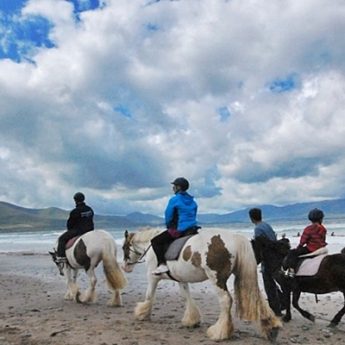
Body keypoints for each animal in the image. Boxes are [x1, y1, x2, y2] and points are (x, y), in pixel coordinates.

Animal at [120, 227, 280, 340]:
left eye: (123, 247)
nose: (125, 267)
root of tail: (236, 238)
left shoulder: (152, 277)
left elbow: (149, 295)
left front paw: (142, 313)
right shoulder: (181, 279)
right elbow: (186, 296)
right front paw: (192, 320)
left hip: (216, 279)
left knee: (226, 301)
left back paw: (220, 332)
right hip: (243, 275)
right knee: (257, 298)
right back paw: (271, 328)